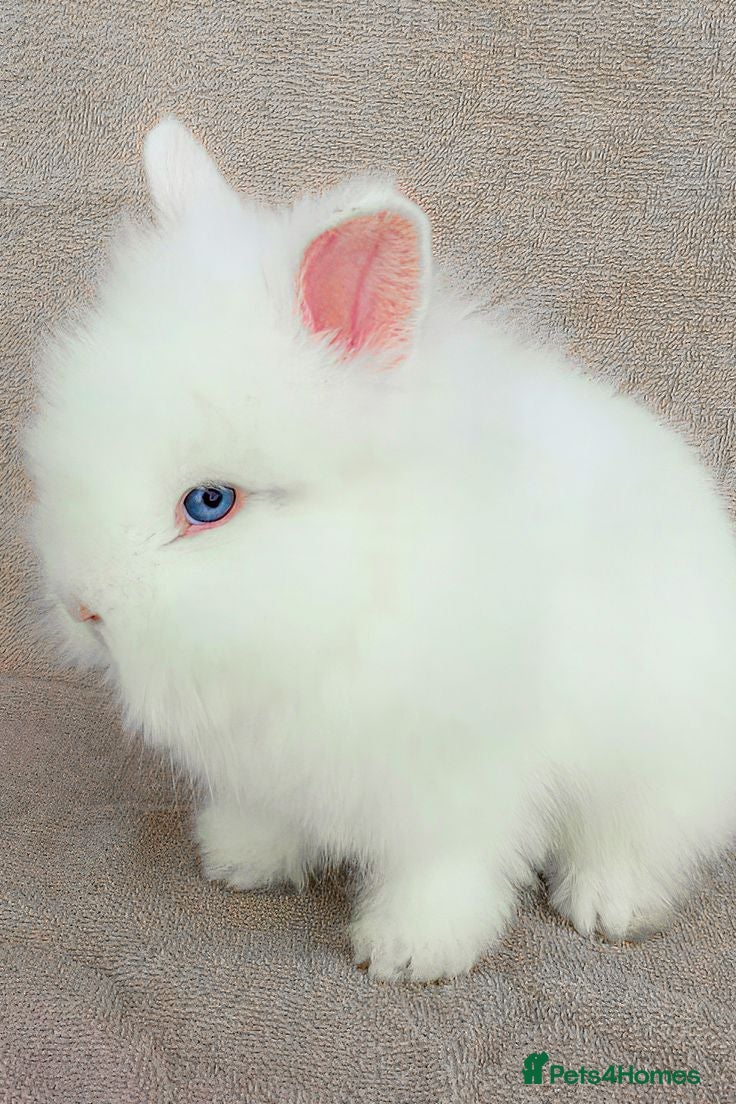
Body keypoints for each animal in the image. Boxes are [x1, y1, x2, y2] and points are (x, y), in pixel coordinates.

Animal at [25, 117, 736, 983]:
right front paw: (240, 861)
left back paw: (608, 907)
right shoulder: (275, 767)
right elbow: (272, 817)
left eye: (210, 502)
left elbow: (447, 867)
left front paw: (410, 952)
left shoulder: (458, 779)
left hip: (663, 762)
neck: (355, 593)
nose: (82, 605)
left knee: (646, 839)